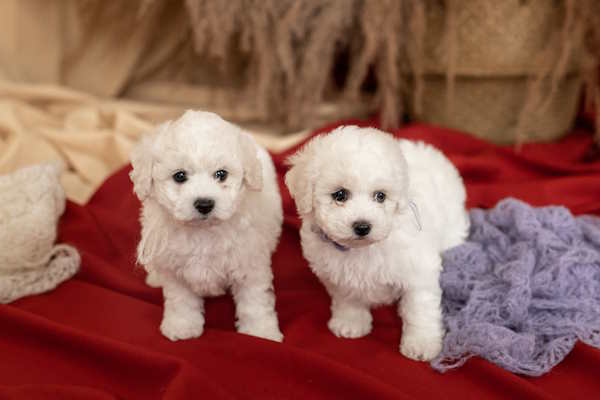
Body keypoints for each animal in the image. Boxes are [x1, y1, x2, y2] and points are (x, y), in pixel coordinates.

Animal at [131, 109, 284, 340]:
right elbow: (181, 301)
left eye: (221, 174)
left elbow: (255, 303)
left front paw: (261, 332)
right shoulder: (175, 271)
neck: (203, 232)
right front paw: (182, 326)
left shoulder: (250, 265)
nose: (204, 204)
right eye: (180, 176)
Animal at [284, 126, 468, 360]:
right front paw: (350, 323)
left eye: (380, 196)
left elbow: (419, 309)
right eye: (340, 195)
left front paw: (421, 344)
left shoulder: (419, 273)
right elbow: (348, 299)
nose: (362, 226)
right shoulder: (337, 275)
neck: (363, 248)